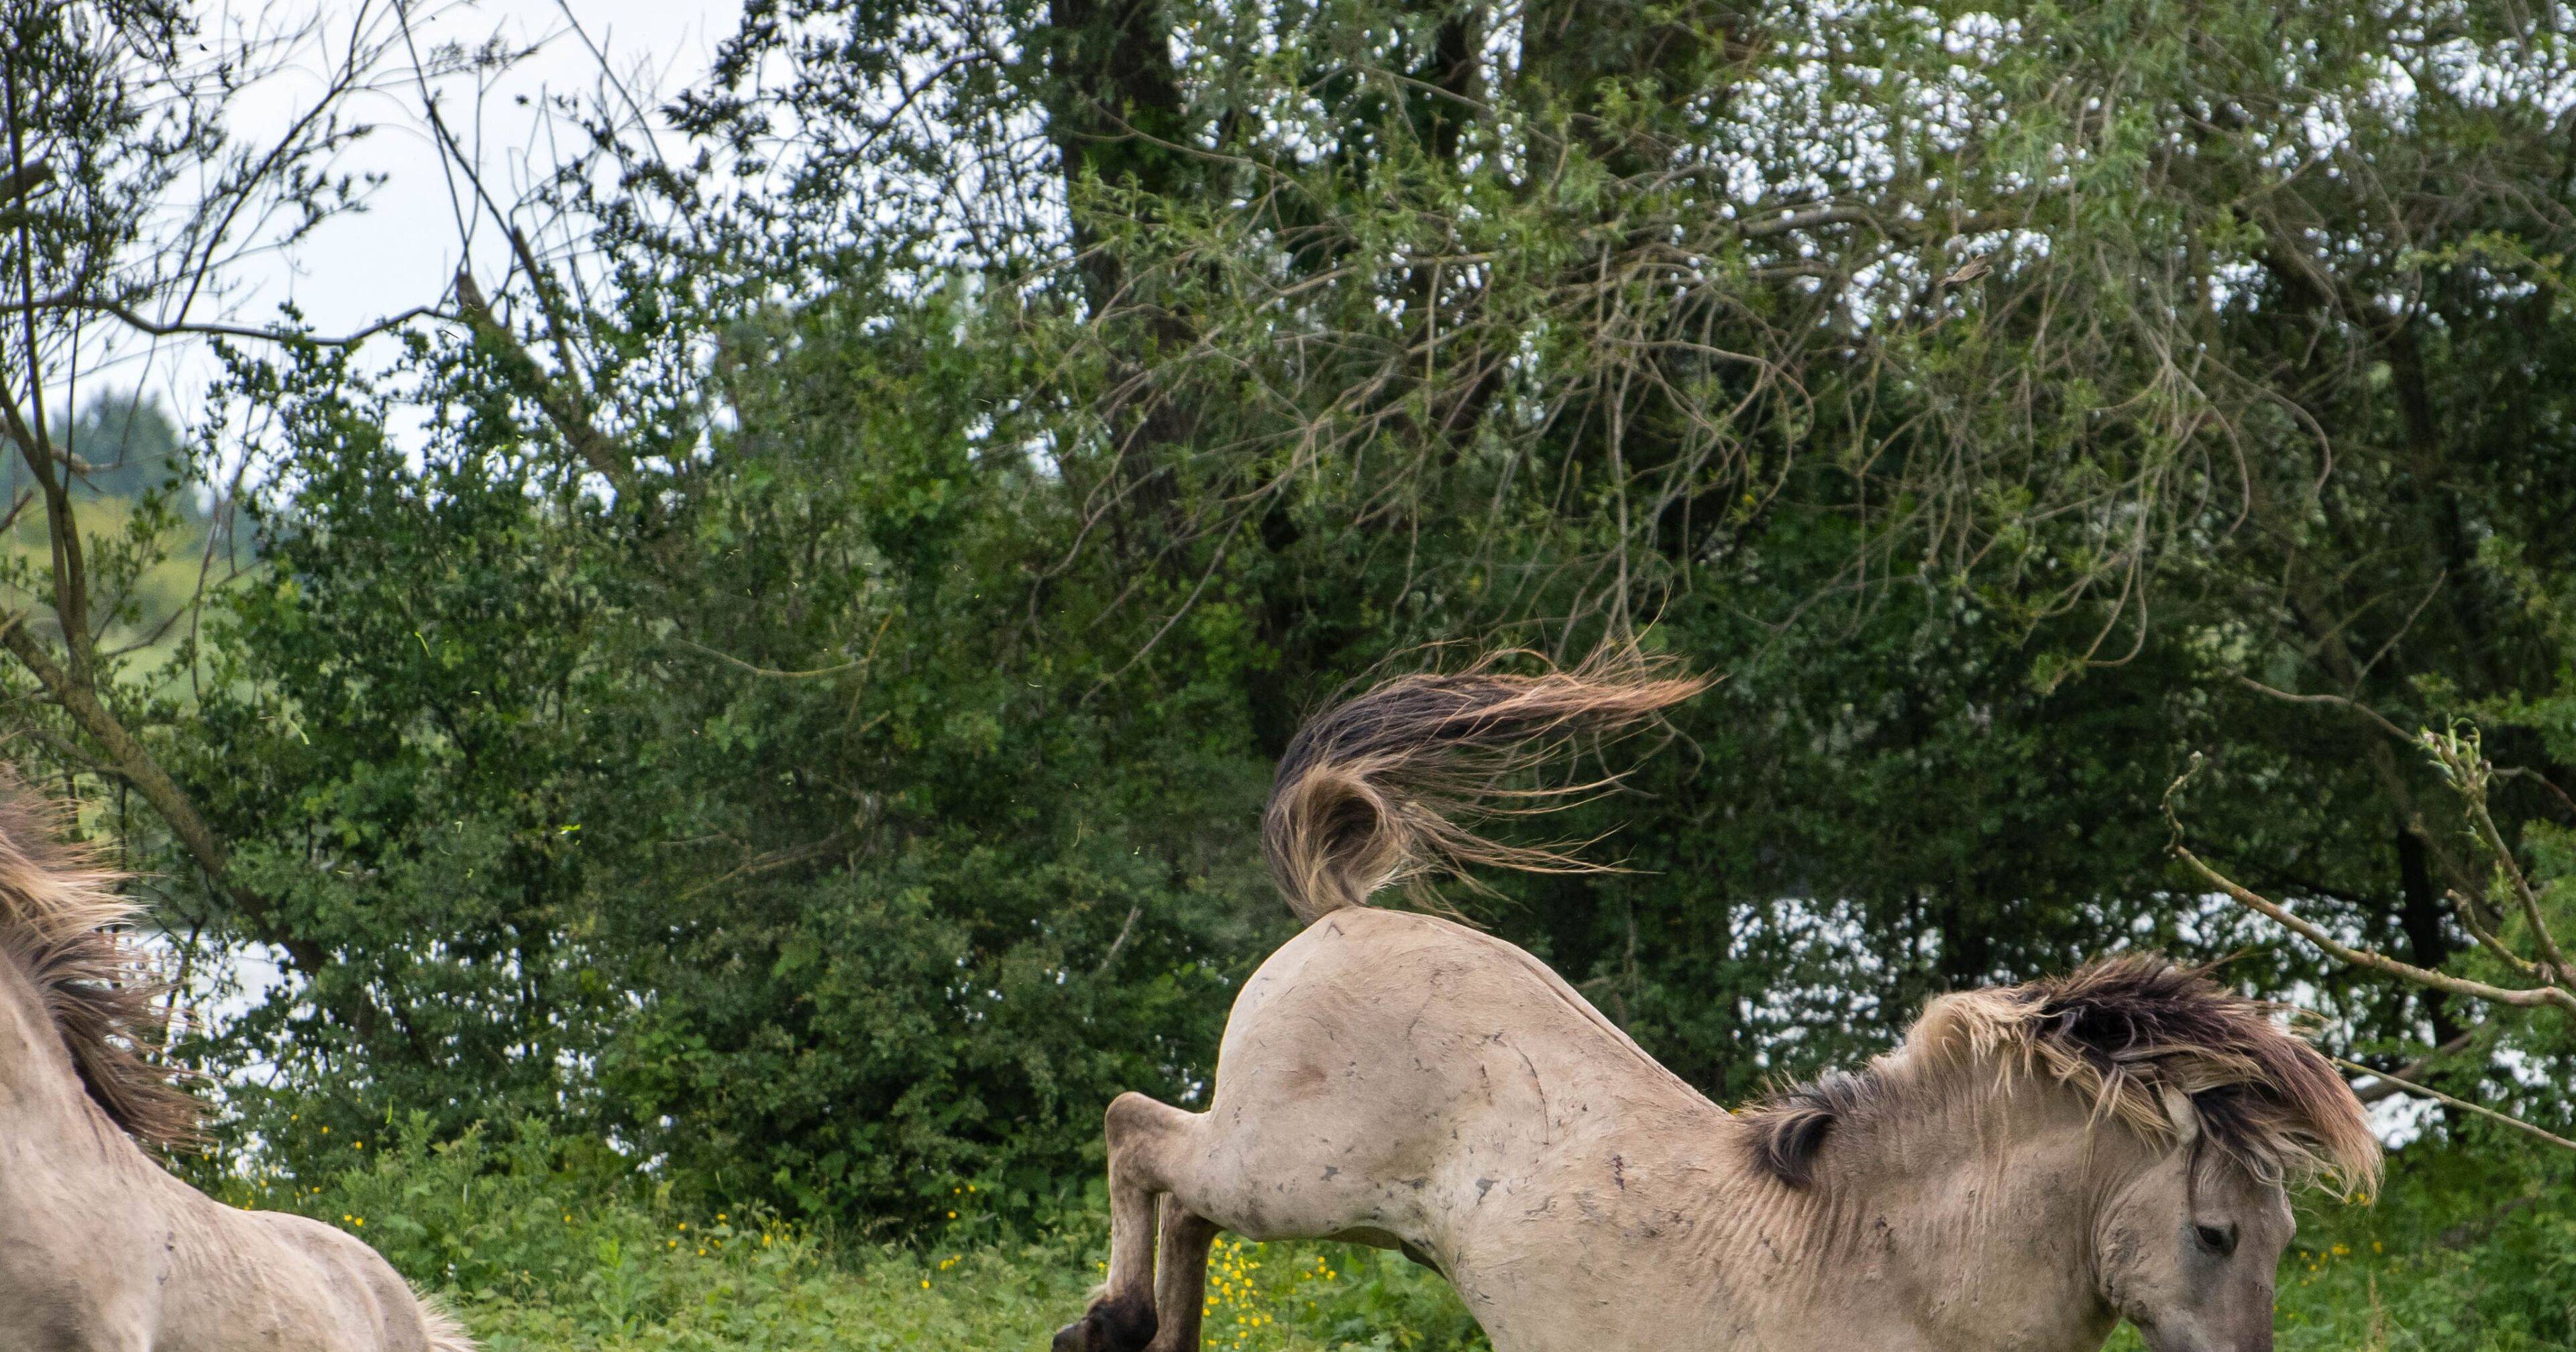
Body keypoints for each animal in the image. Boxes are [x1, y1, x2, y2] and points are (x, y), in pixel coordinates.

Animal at [1052, 659, 2378, 1352]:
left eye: (2283, 1240)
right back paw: (1107, 1324)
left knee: (1181, 1199)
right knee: (1139, 1135)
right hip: (1291, 1171)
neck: (1899, 1266)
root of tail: (1344, 916)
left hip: (1317, 1199)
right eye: (2216, 1234)